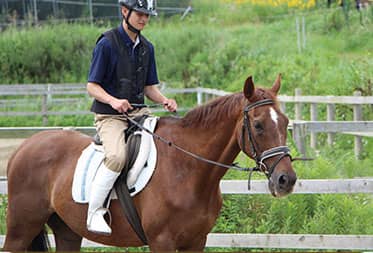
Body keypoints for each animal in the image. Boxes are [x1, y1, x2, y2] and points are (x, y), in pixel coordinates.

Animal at [2, 74, 294, 251]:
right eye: (258, 125)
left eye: (286, 122)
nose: (286, 180)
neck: (189, 171)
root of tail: (24, 146)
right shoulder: (161, 241)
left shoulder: (196, 241)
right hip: (21, 229)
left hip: (67, 231)